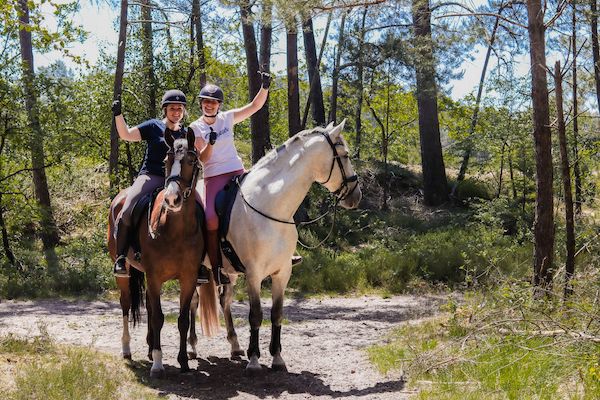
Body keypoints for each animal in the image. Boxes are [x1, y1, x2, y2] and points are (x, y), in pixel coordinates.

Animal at [108, 129, 220, 378]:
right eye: (167, 161)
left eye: (191, 160)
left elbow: (182, 319)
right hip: (126, 271)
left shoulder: (188, 277)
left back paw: (150, 348)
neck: (176, 229)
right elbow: (159, 317)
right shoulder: (155, 276)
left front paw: (183, 361)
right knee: (126, 303)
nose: (172, 199)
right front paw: (158, 364)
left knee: (149, 307)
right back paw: (127, 348)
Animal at [209, 119, 360, 376]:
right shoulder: (254, 275)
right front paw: (254, 360)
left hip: (227, 273)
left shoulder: (282, 273)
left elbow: (277, 313)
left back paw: (234, 346)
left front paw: (277, 358)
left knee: (223, 301)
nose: (356, 195)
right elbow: (256, 315)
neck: (270, 207)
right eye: (345, 155)